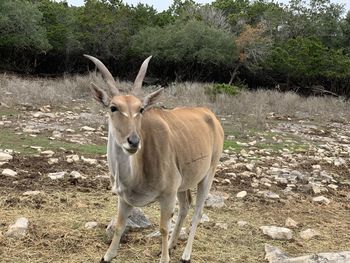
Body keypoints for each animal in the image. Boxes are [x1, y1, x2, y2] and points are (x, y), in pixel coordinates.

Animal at [85, 54, 224, 262]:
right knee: (185, 206)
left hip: (208, 174)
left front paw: (165, 257)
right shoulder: (124, 198)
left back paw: (185, 254)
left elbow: (163, 228)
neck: (136, 175)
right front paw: (108, 255)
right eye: (113, 107)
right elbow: (119, 226)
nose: (133, 141)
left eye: (141, 109)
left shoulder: (167, 195)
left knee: (197, 212)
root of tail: (211, 116)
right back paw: (172, 246)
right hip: (183, 183)